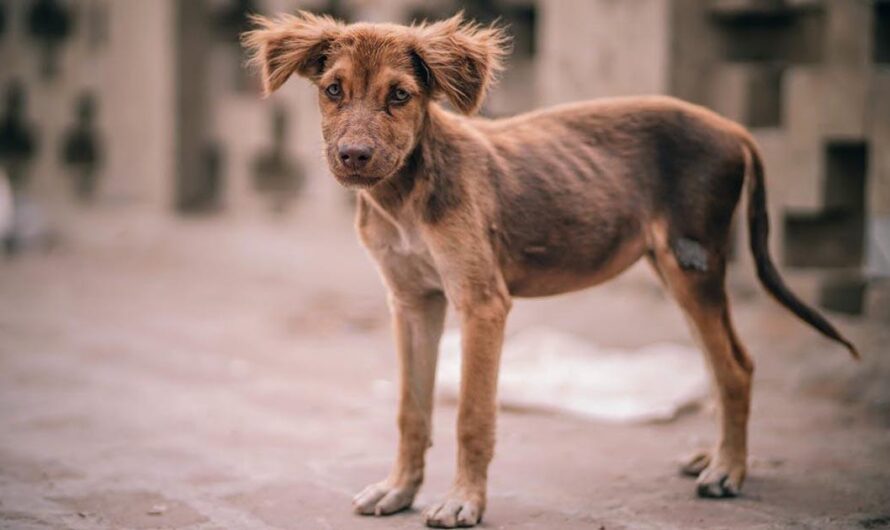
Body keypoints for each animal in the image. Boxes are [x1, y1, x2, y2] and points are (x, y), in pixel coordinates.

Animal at [241, 13, 852, 528]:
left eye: (400, 95)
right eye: (333, 90)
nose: (353, 156)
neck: (405, 196)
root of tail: (731, 126)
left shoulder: (482, 302)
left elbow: (471, 415)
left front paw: (463, 501)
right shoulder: (412, 302)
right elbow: (410, 411)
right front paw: (399, 489)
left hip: (693, 262)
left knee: (736, 366)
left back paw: (728, 470)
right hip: (674, 267)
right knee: (718, 361)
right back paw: (714, 456)